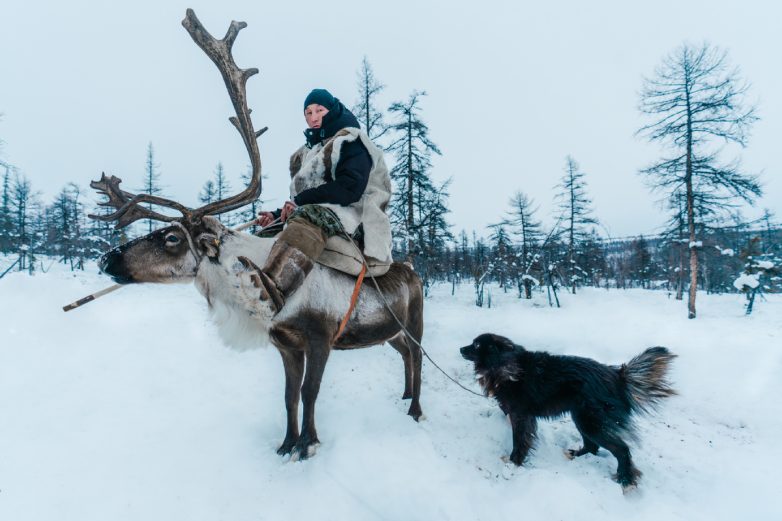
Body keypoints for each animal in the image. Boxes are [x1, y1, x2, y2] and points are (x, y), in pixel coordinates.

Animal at [462, 334, 676, 488]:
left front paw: (514, 462)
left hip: (591, 422)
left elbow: (520, 441)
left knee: (622, 450)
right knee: (592, 446)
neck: (504, 365)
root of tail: (617, 376)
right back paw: (576, 455)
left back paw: (625, 479)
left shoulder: (520, 416)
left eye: (477, 345)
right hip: (581, 418)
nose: (461, 349)